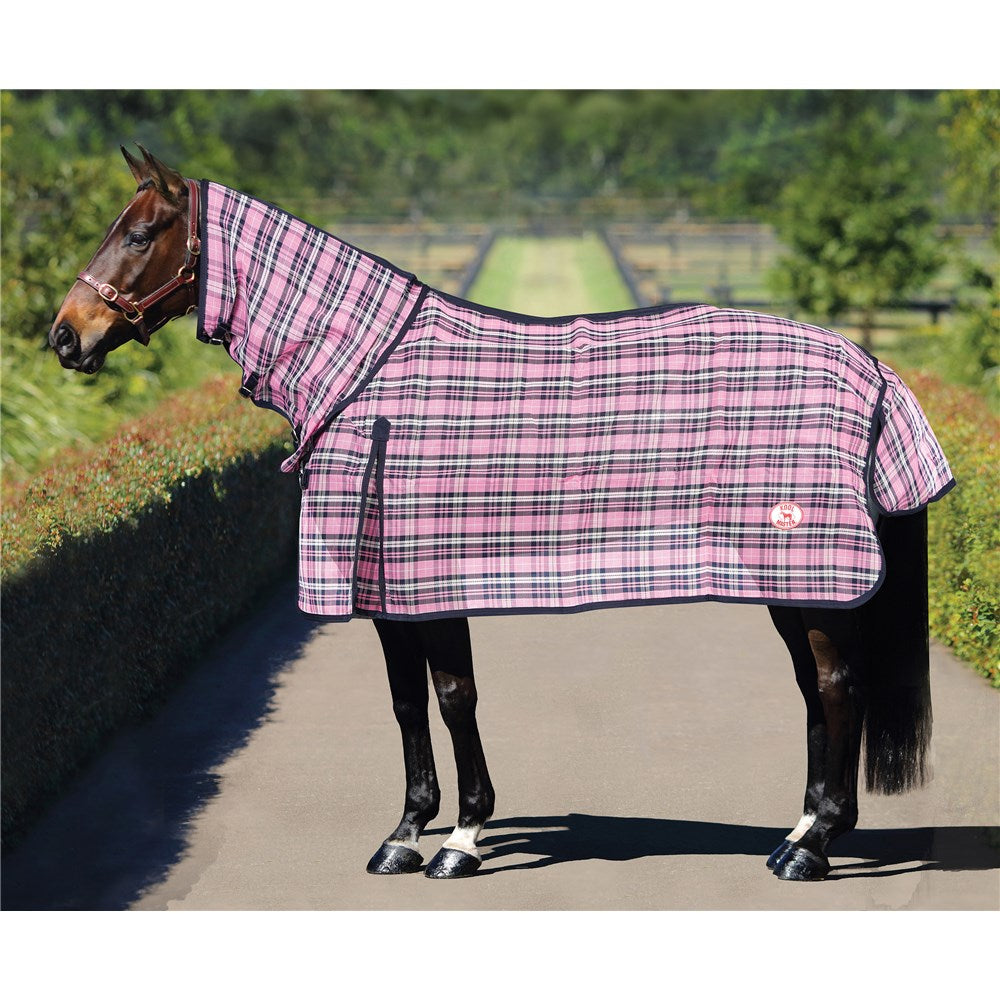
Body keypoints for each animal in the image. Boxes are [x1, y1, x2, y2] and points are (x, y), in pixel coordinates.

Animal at [49, 146, 953, 882]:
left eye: (141, 234)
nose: (65, 337)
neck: (369, 373)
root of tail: (874, 366)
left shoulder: (433, 585)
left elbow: (454, 697)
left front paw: (462, 839)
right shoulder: (388, 591)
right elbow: (406, 703)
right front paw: (405, 834)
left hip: (814, 574)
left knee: (836, 685)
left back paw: (814, 846)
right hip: (789, 581)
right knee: (813, 689)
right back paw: (796, 831)